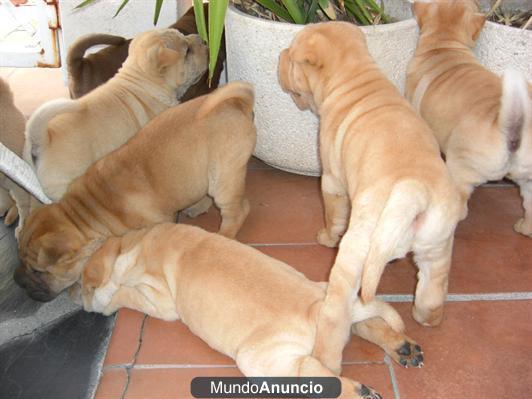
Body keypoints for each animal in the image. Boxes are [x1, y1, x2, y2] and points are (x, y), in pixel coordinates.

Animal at [15, 82, 256, 304]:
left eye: (39, 271)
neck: (83, 214)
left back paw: (223, 234)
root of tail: (236, 102)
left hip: (223, 178)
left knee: (238, 211)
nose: (19, 283)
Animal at [79, 223, 424, 399]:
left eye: (83, 286)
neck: (133, 243)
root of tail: (315, 308)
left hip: (259, 359)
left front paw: (104, 298)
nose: (80, 303)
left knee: (313, 373)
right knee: (368, 324)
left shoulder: (159, 300)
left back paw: (358, 390)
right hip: (334, 294)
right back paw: (402, 347)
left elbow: (124, 293)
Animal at [278, 22, 462, 376]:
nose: (280, 53)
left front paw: (325, 237)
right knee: (432, 288)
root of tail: (413, 190)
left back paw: (325, 360)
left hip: (355, 254)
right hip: (437, 243)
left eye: (291, 56)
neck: (356, 76)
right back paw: (427, 317)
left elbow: (333, 215)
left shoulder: (331, 180)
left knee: (335, 317)